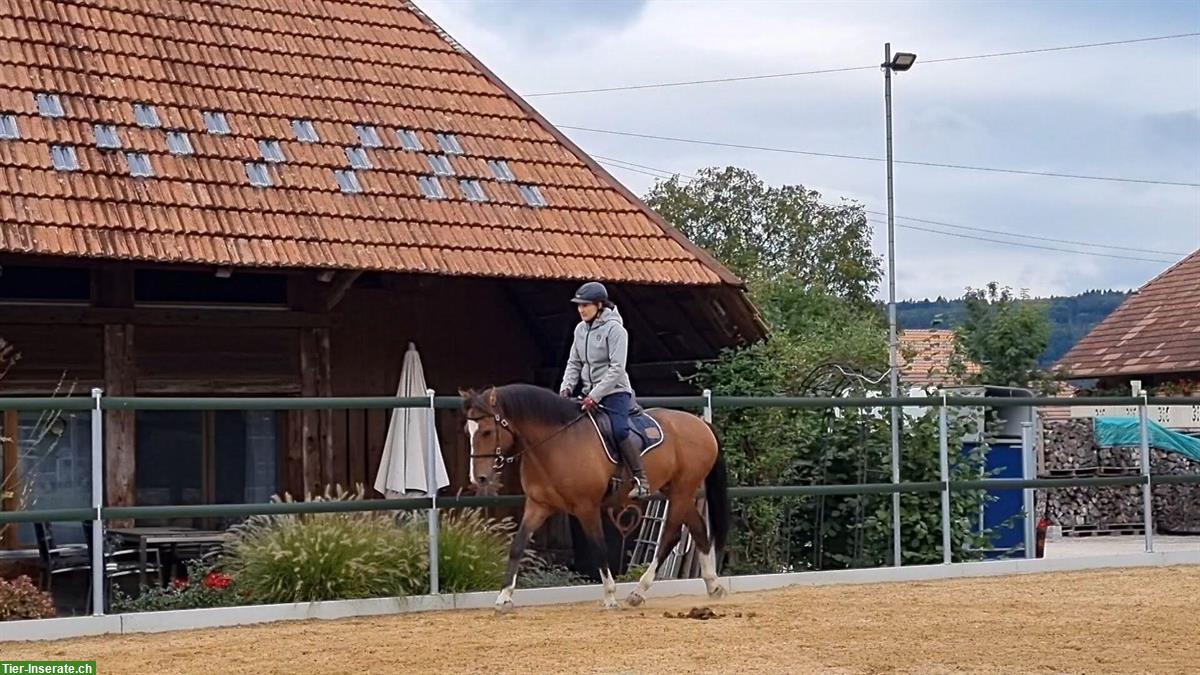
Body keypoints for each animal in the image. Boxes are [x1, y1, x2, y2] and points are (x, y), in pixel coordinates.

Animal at [463, 384, 729, 610]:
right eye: (468, 431)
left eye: (487, 431)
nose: (479, 478)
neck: (557, 443)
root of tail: (700, 424)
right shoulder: (538, 505)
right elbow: (517, 546)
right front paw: (503, 597)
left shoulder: (586, 507)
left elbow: (599, 548)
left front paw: (610, 597)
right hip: (676, 491)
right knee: (697, 528)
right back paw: (713, 585)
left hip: (683, 490)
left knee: (670, 536)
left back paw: (638, 591)